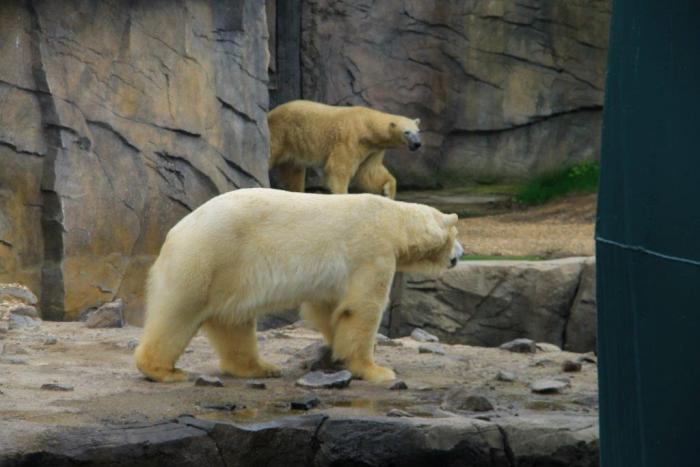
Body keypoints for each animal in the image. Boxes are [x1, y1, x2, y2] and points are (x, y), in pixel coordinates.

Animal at [134, 188, 462, 383]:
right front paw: (377, 370)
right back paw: (163, 370)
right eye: (456, 234)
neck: (394, 219)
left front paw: (337, 352)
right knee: (178, 312)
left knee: (233, 322)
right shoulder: (371, 251)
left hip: (231, 275)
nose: (459, 255)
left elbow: (328, 308)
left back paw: (260, 367)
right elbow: (362, 309)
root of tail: (176, 231)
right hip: (208, 257)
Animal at [268, 100, 421, 199]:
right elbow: (338, 168)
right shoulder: (350, 139)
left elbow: (369, 172)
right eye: (407, 132)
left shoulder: (373, 149)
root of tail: (270, 113)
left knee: (294, 171)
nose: (417, 144)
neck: (366, 124)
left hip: (293, 144)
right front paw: (343, 194)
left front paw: (388, 191)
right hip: (281, 132)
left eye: (418, 131)